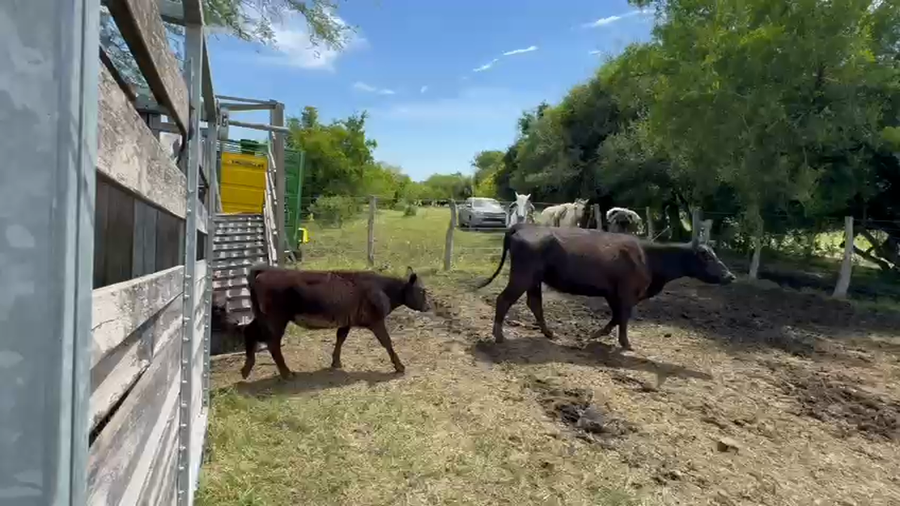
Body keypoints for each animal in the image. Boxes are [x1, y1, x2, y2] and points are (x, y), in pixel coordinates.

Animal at [240, 264, 432, 380]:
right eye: (422, 291)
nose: (428, 306)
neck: (383, 289)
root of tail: (264, 272)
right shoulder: (376, 321)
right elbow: (387, 342)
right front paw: (399, 366)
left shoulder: (346, 321)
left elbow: (341, 338)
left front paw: (336, 362)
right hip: (276, 319)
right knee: (273, 344)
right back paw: (286, 373)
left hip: (262, 317)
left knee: (249, 331)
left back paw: (246, 369)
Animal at [475, 224, 736, 350]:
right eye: (707, 256)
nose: (730, 275)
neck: (648, 257)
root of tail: (521, 226)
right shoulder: (627, 293)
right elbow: (623, 318)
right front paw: (626, 344)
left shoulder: (614, 293)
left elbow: (616, 316)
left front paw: (597, 334)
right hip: (522, 275)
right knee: (504, 299)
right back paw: (499, 336)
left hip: (534, 279)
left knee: (534, 303)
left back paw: (549, 333)